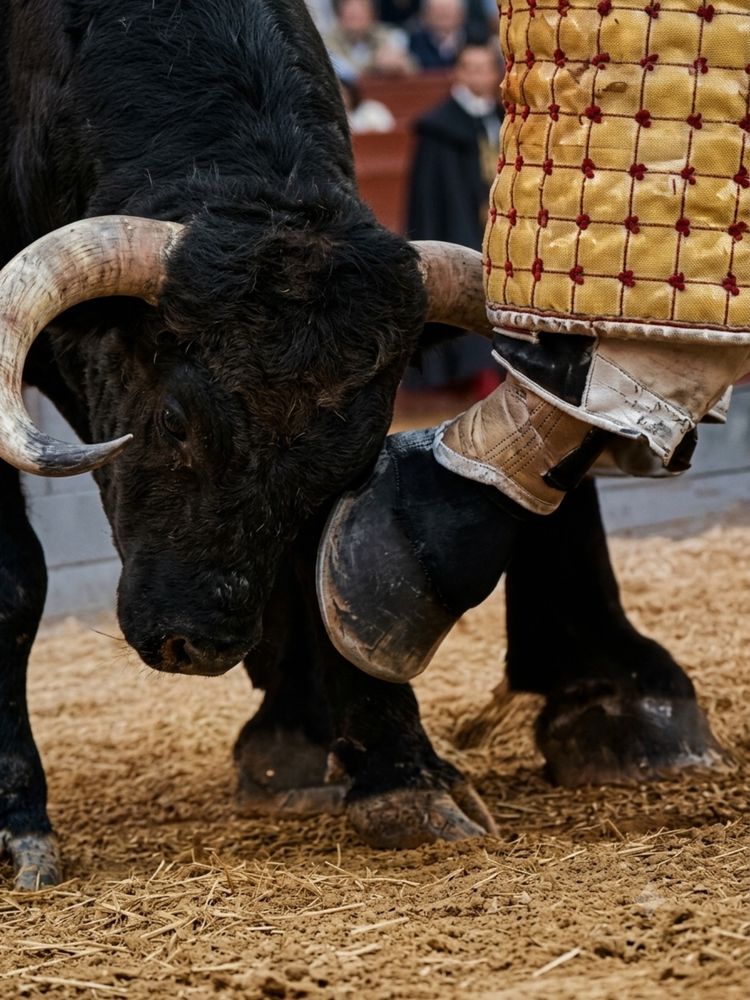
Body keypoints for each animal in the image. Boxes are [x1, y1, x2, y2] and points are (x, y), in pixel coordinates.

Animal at [0, 0, 717, 891]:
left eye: (352, 455)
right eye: (173, 420)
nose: (197, 640)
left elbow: (323, 571)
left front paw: (402, 773)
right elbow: (15, 581)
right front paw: (19, 822)